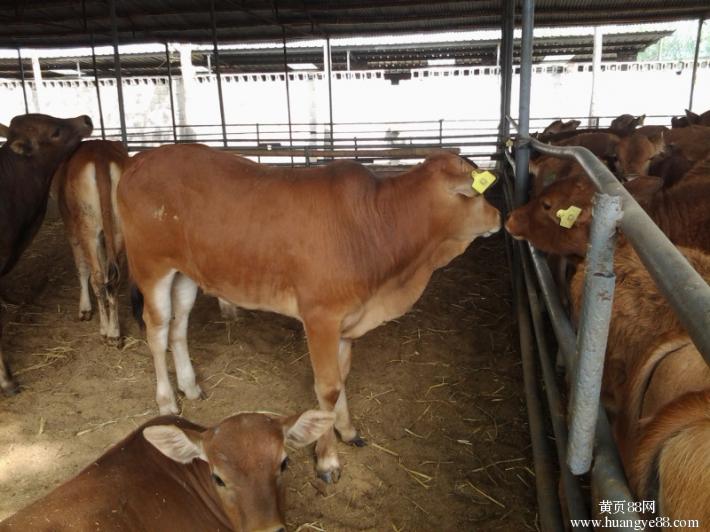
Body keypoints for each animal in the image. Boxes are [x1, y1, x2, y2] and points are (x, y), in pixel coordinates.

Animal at [54, 139, 131, 344]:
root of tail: (99, 153)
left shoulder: (71, 228)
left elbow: (82, 267)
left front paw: (84, 308)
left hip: (87, 228)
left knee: (97, 276)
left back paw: (105, 330)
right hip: (118, 229)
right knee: (113, 277)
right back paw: (115, 331)